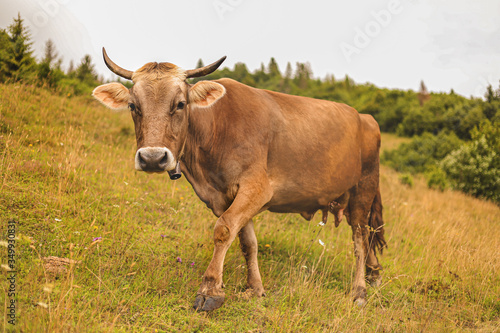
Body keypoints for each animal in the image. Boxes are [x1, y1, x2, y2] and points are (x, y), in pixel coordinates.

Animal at [92, 48, 384, 310]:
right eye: (133, 105)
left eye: (180, 104)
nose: (152, 158)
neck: (216, 128)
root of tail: (365, 117)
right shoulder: (223, 195)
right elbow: (247, 241)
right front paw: (254, 288)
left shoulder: (257, 189)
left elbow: (223, 229)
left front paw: (210, 289)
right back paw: (374, 274)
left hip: (364, 190)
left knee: (360, 238)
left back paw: (359, 291)